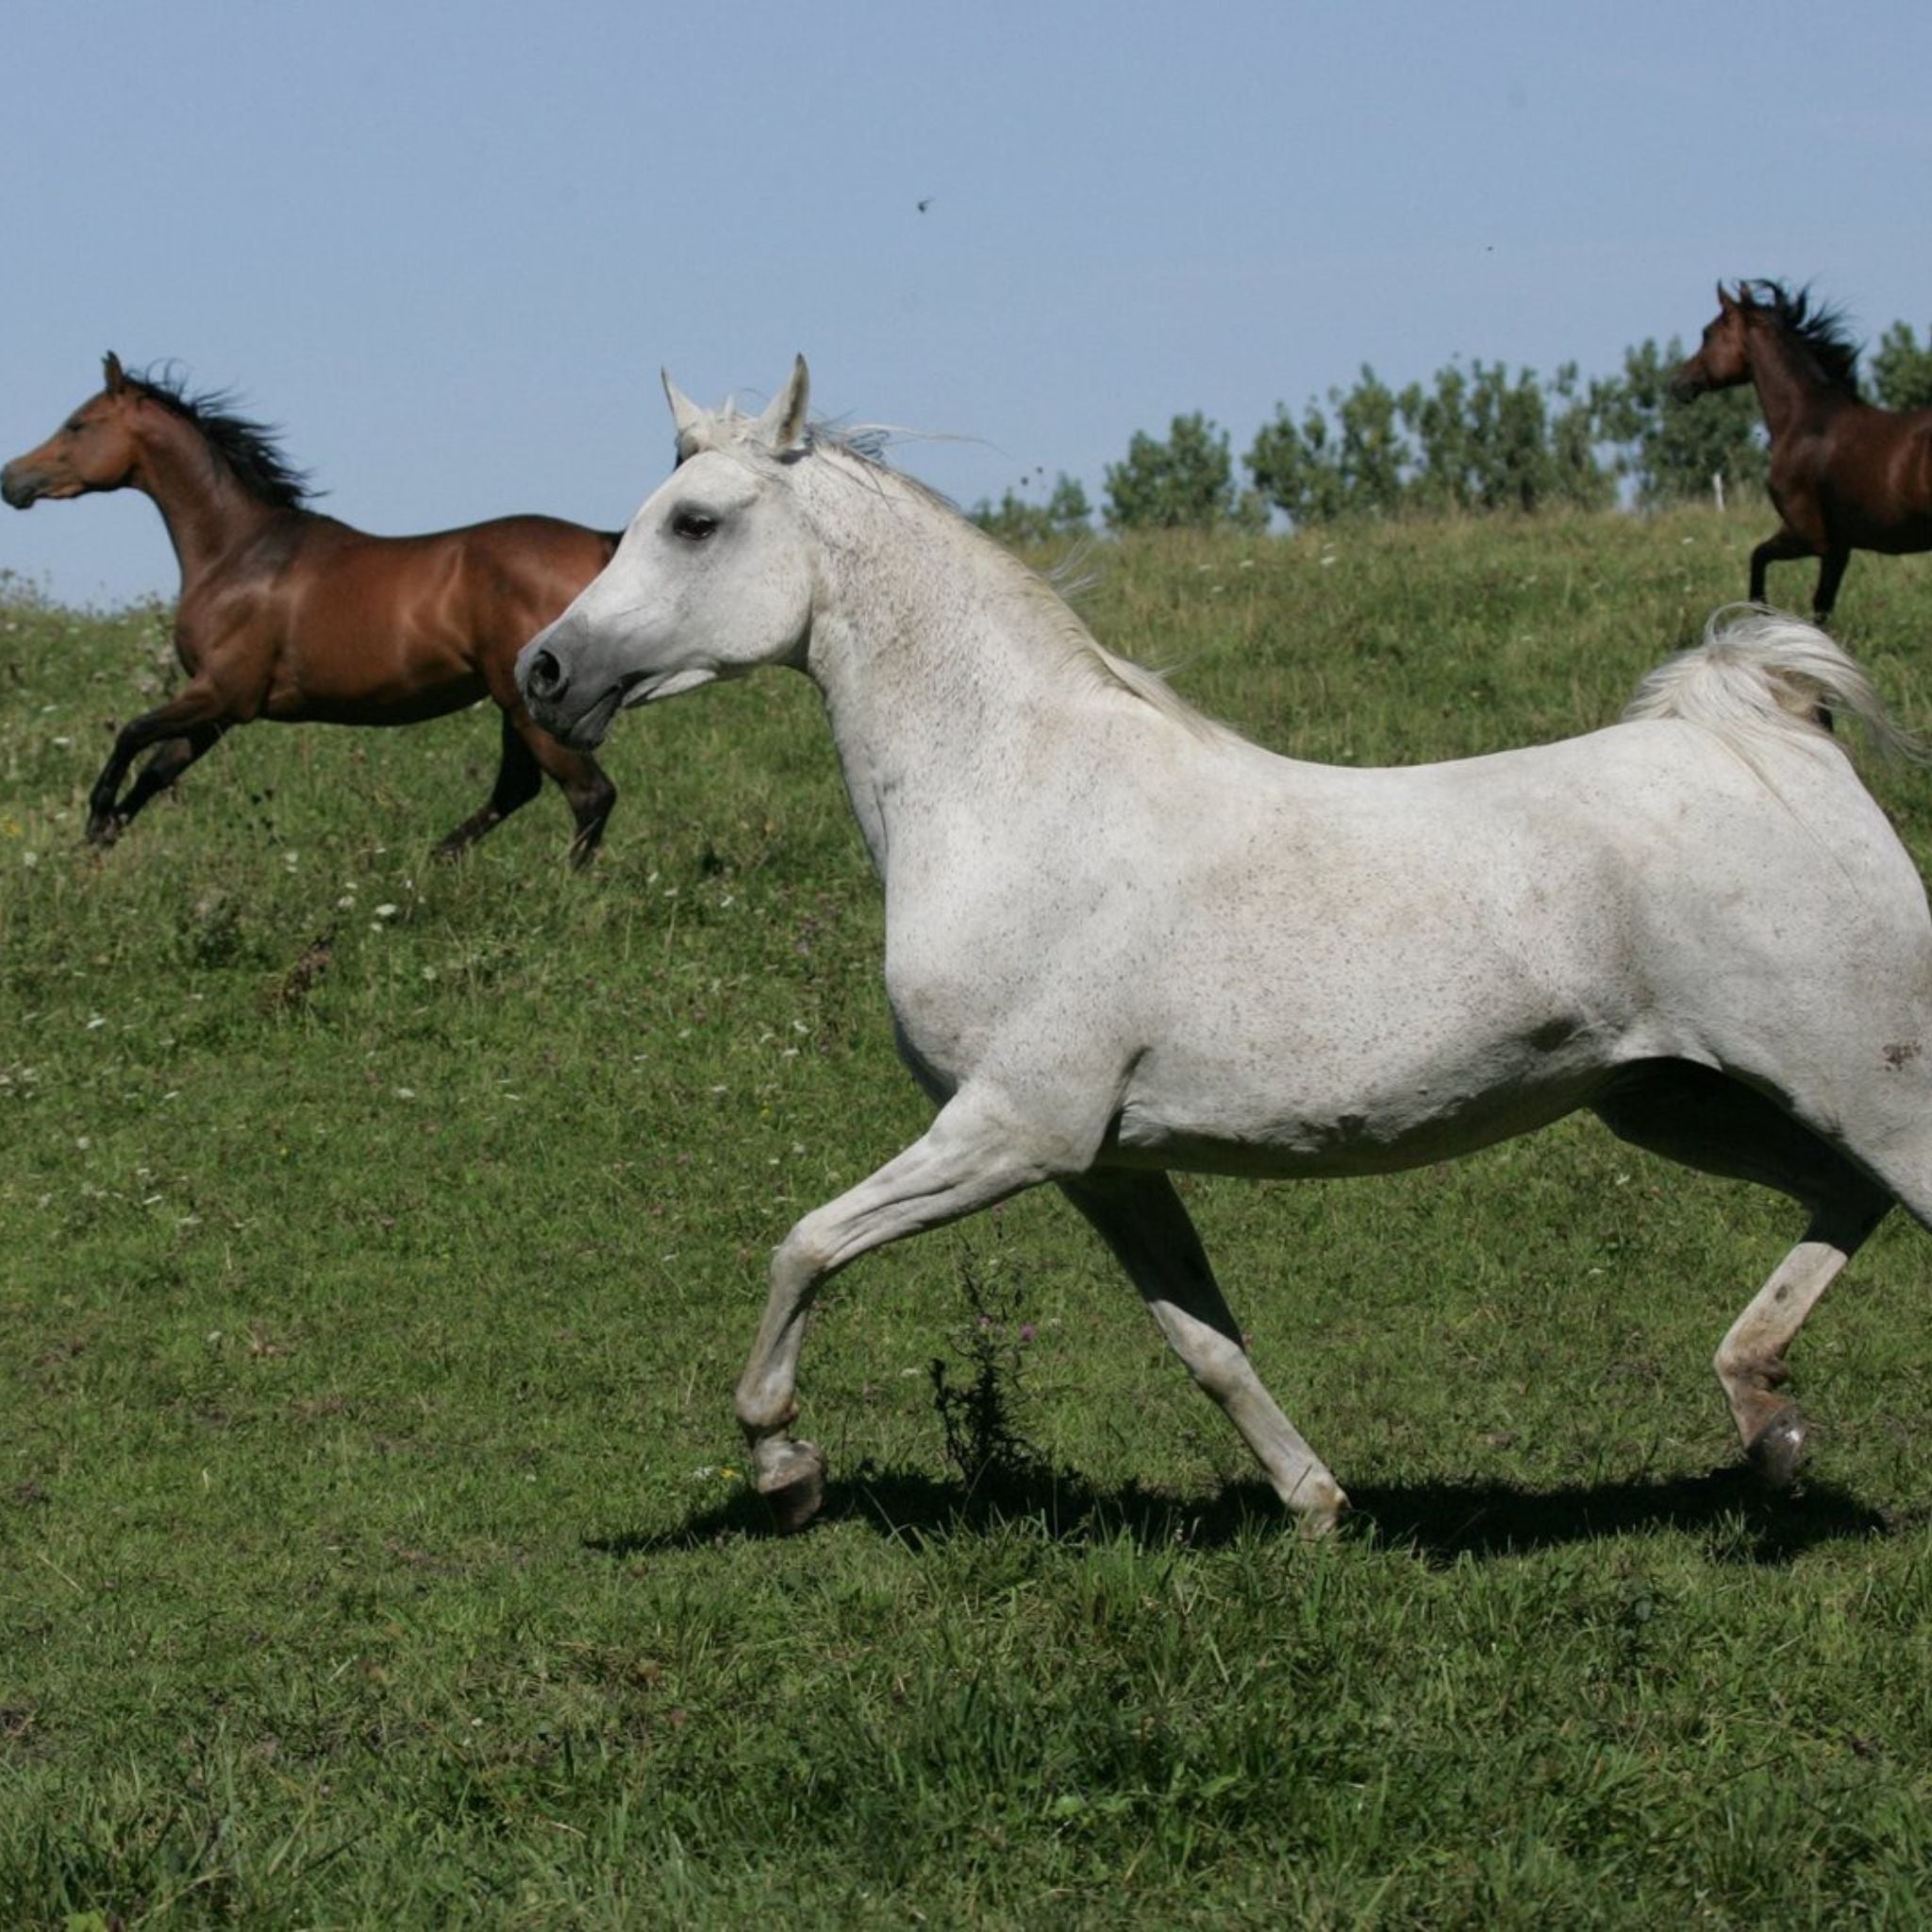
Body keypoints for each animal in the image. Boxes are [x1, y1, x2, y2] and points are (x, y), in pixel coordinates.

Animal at [2, 358, 618, 858]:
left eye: (77, 425)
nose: (12, 479)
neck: (238, 552)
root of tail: (603, 546)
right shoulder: (220, 711)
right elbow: (156, 772)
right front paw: (98, 840)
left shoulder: (222, 691)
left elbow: (130, 733)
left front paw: (96, 817)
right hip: (516, 703)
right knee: (521, 789)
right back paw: (436, 862)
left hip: (527, 705)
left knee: (589, 794)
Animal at [513, 358, 1932, 1538]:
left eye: (696, 522)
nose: (541, 673)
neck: (1017, 796)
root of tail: (1783, 735)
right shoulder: (1104, 1162)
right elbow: (1205, 1341)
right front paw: (1317, 1508)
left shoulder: (1011, 1127)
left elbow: (803, 1244)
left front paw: (784, 1468)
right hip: (1676, 1100)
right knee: (1838, 1200)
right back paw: (1764, 1417)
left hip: (1860, 1088)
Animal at [1669, 282, 1932, 618]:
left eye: (1708, 333)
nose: (1678, 383)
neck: (1803, 419)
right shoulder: (1839, 549)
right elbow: (1822, 606)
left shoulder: (1809, 537)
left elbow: (1758, 558)